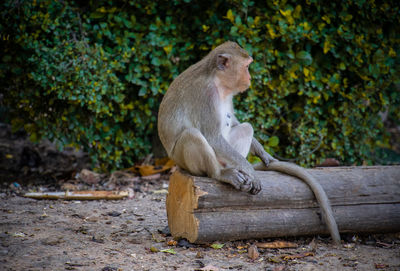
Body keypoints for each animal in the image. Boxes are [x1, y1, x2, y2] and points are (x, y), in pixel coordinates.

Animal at [156, 41, 340, 246]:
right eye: (246, 66)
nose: (250, 77)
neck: (218, 82)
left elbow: (236, 123)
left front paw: (262, 152)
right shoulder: (206, 95)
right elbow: (212, 136)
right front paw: (251, 171)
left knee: (245, 128)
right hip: (183, 160)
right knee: (192, 135)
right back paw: (220, 174)